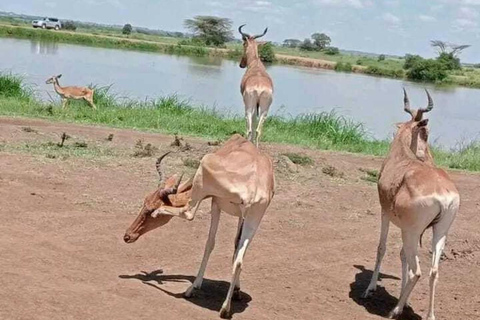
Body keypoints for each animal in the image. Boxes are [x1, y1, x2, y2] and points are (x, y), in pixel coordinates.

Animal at [124, 134, 274, 318]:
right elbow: (236, 248)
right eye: (144, 200)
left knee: (188, 212)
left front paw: (195, 286)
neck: (236, 146)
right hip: (255, 217)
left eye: (149, 207)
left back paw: (189, 290)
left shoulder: (215, 202)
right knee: (239, 259)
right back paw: (225, 308)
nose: (128, 236)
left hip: (206, 185)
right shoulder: (242, 216)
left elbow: (210, 243)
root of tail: (253, 186)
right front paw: (237, 291)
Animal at [364, 89, 462, 318]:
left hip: (411, 232)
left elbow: (382, 248)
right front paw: (406, 299)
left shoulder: (385, 213)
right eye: (426, 133)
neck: (400, 155)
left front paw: (370, 289)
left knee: (417, 271)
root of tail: (442, 192)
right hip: (439, 231)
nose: (429, 157)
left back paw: (395, 310)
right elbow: (402, 257)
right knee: (433, 270)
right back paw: (430, 315)